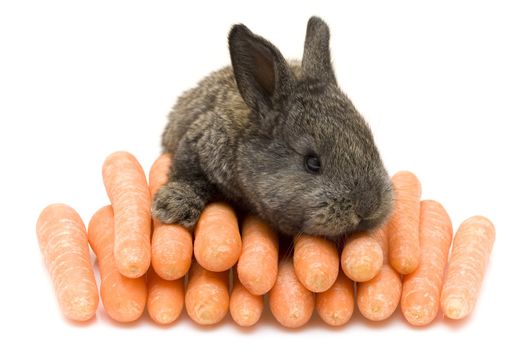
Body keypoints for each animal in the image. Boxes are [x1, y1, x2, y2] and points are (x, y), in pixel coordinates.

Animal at [152, 17, 392, 241]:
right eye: (312, 163)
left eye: (372, 144)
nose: (368, 207)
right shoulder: (196, 146)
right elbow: (188, 176)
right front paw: (173, 207)